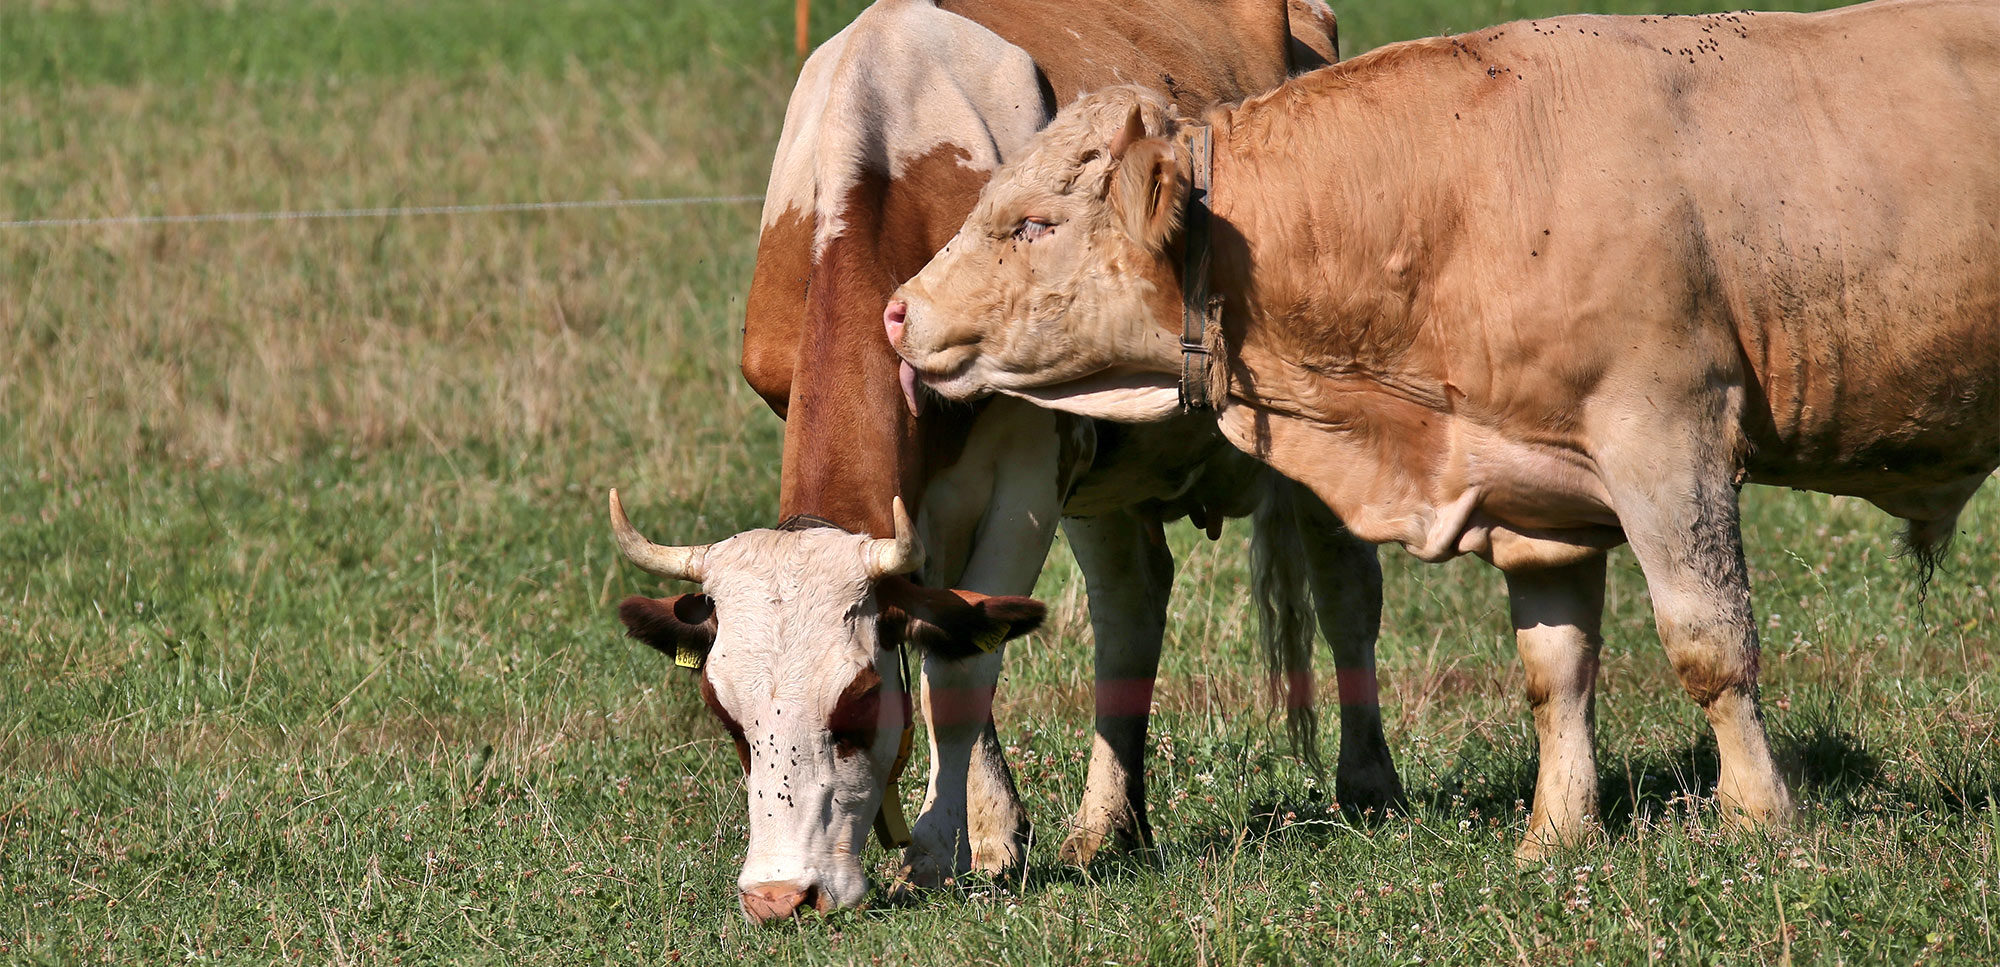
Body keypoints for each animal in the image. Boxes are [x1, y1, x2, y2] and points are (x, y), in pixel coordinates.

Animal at [608, 0, 1409, 923]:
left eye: (857, 704)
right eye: (727, 716)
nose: (781, 896)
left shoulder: (1026, 474)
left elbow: (961, 666)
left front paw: (935, 847)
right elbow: (952, 631)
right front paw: (990, 835)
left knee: (1346, 587)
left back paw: (1370, 783)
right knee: (1131, 603)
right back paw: (1109, 823)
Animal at [888, 0, 2000, 863]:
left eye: (1032, 223)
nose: (898, 311)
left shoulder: (1666, 435)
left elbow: (1709, 644)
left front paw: (1760, 818)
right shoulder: (1536, 488)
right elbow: (1554, 669)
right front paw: (1555, 835)